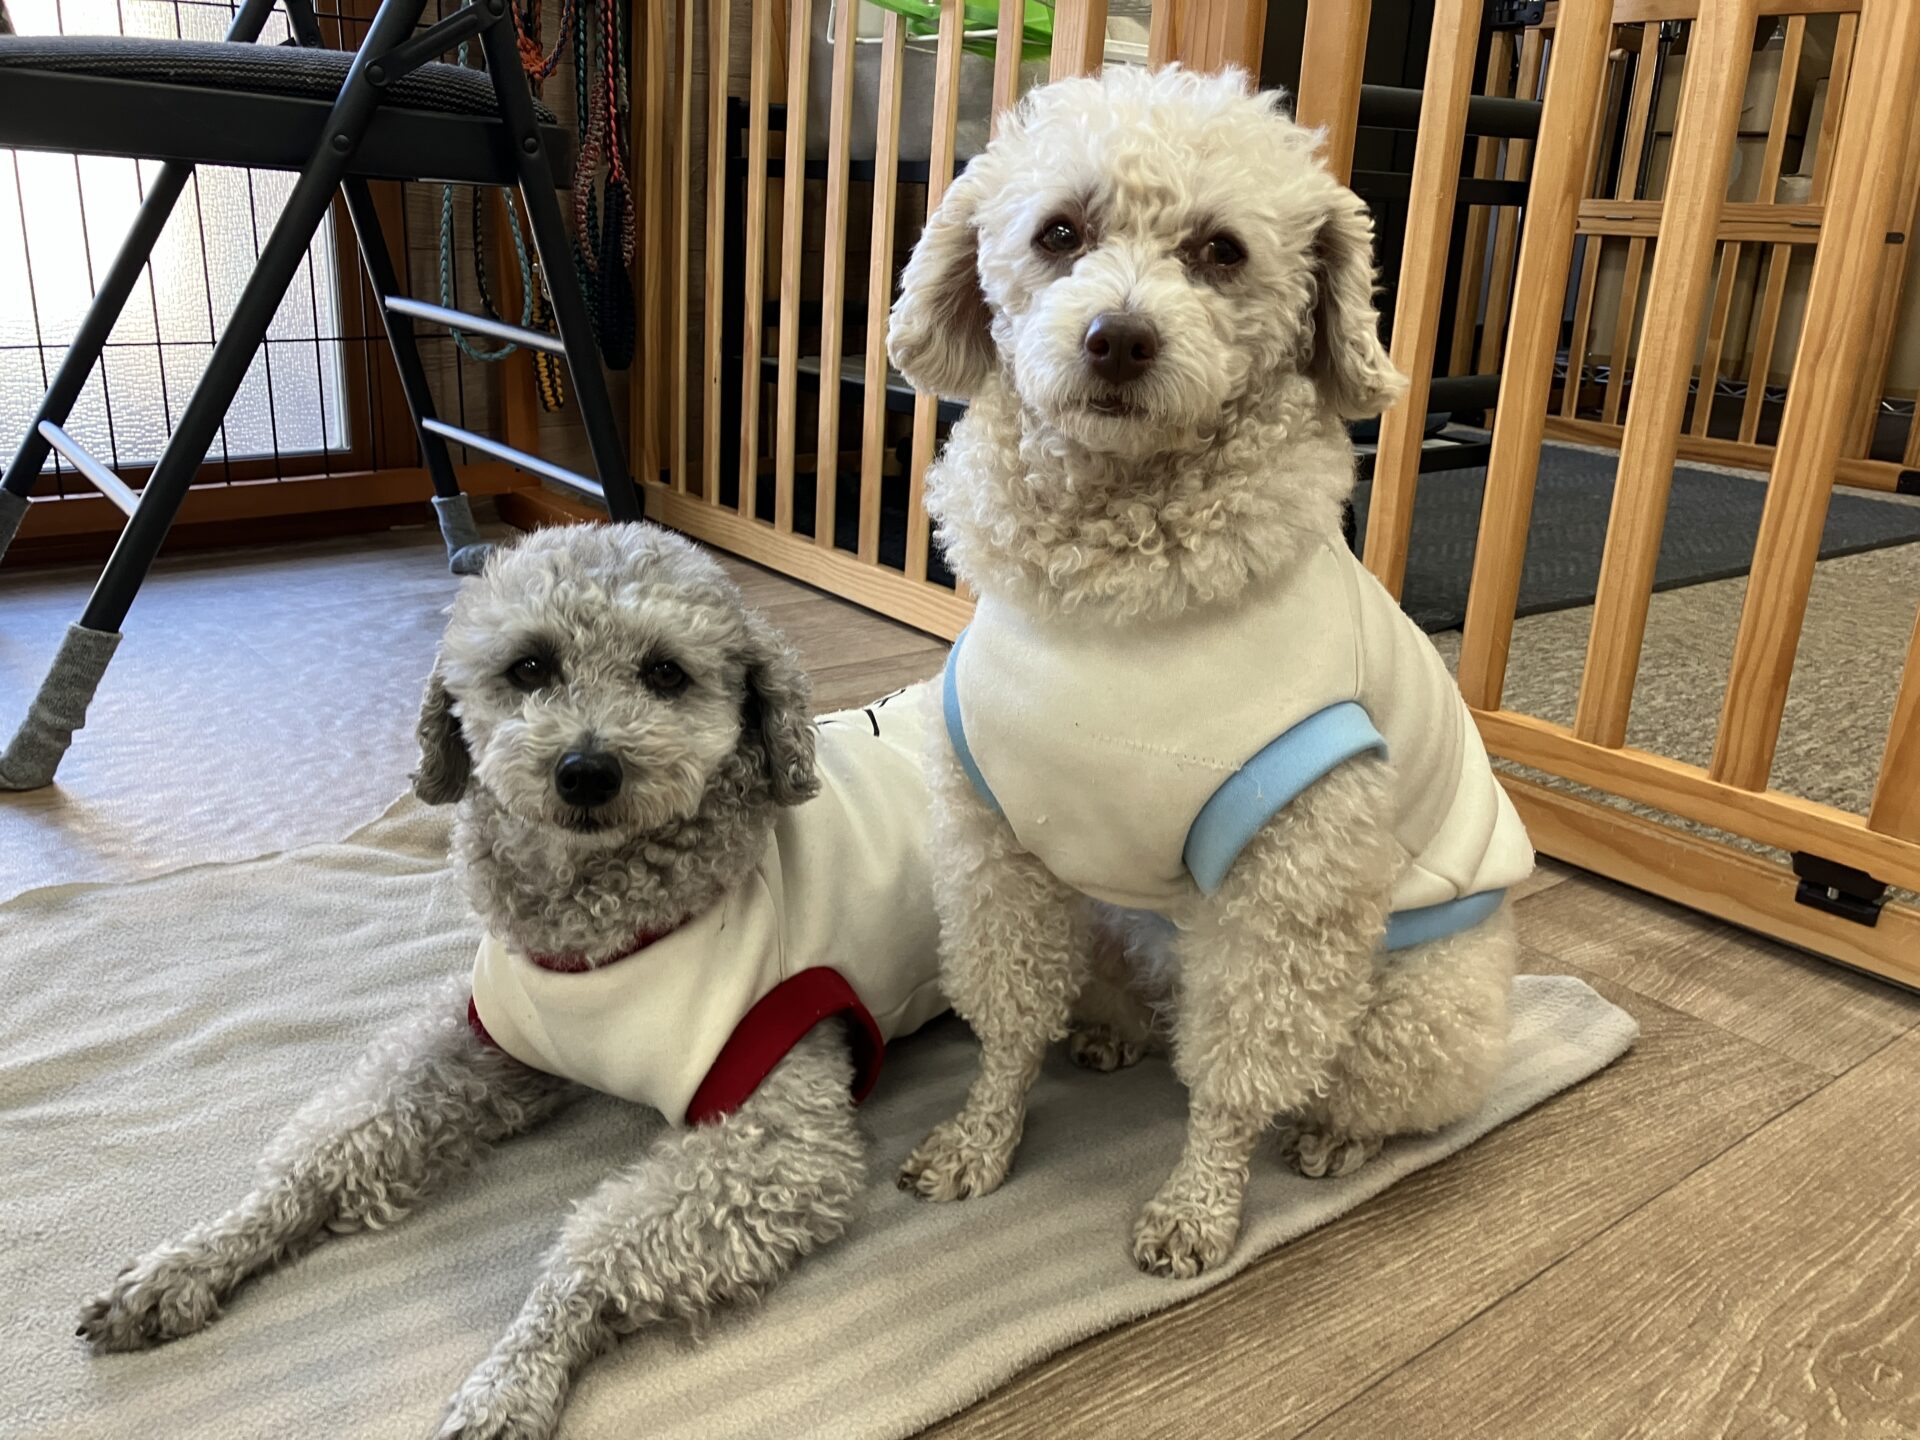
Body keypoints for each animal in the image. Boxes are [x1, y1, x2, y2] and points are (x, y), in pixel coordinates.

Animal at [77, 523, 945, 1440]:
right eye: (530, 666)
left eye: (666, 673)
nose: (586, 770)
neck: (600, 929)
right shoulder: (491, 1039)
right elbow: (333, 1147)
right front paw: (190, 1260)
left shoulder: (776, 1136)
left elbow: (591, 1257)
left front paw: (514, 1377)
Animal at [886, 65, 1531, 1280]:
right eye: (1059, 233)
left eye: (1221, 251)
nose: (1119, 338)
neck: (1117, 601)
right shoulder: (1000, 846)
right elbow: (1006, 1022)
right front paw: (977, 1142)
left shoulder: (1285, 895)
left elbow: (1238, 1075)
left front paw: (1196, 1209)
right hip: (1114, 923)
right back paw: (1110, 1030)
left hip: (1420, 1005)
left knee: (1376, 1084)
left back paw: (1335, 1135)